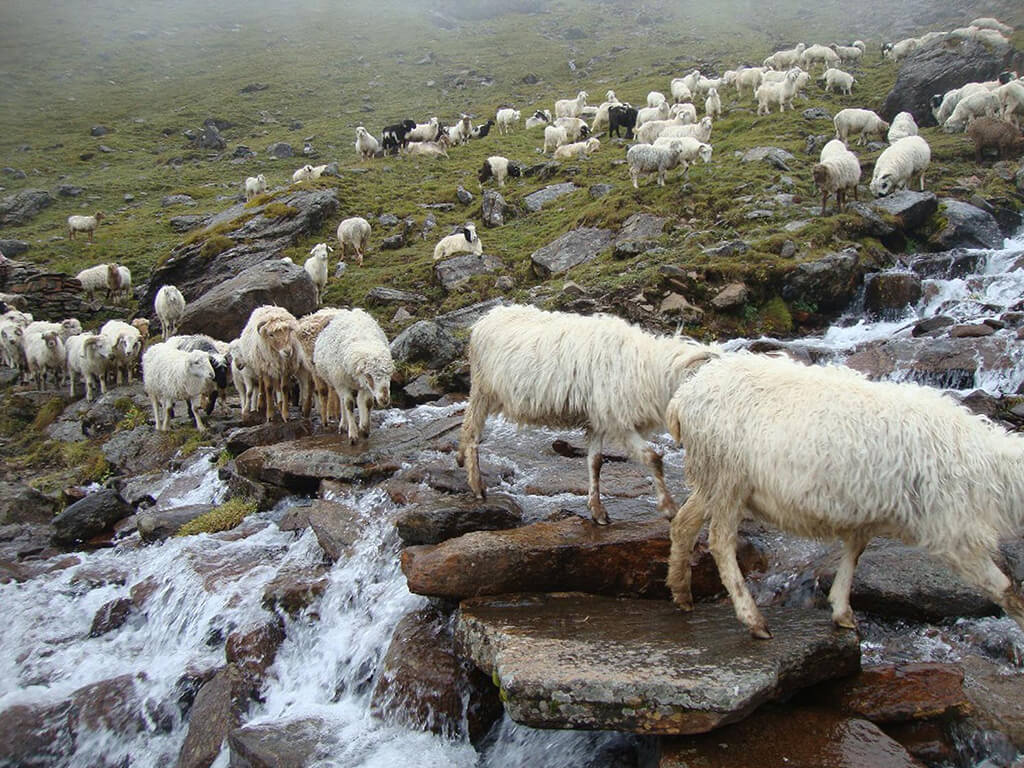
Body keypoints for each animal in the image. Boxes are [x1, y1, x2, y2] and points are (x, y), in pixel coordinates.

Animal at [313, 309, 393, 443]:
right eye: (369, 375)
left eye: (389, 374)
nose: (384, 399)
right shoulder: (343, 383)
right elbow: (349, 404)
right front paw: (353, 435)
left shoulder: (365, 386)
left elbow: (367, 403)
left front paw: (365, 429)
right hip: (337, 382)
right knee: (342, 400)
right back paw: (344, 424)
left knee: (361, 401)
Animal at [457, 304, 714, 525]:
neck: (651, 369)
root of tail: (488, 317)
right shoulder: (617, 420)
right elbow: (653, 458)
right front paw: (670, 508)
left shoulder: (599, 419)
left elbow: (595, 462)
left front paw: (597, 510)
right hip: (483, 388)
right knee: (471, 432)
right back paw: (476, 485)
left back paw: (460, 460)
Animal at [664, 351, 1024, 639]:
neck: (996, 472)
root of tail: (686, 394)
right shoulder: (955, 531)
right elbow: (1006, 590)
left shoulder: (867, 507)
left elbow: (854, 551)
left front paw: (841, 609)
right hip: (728, 476)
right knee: (720, 542)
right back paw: (752, 618)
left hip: (713, 479)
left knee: (684, 523)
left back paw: (681, 593)